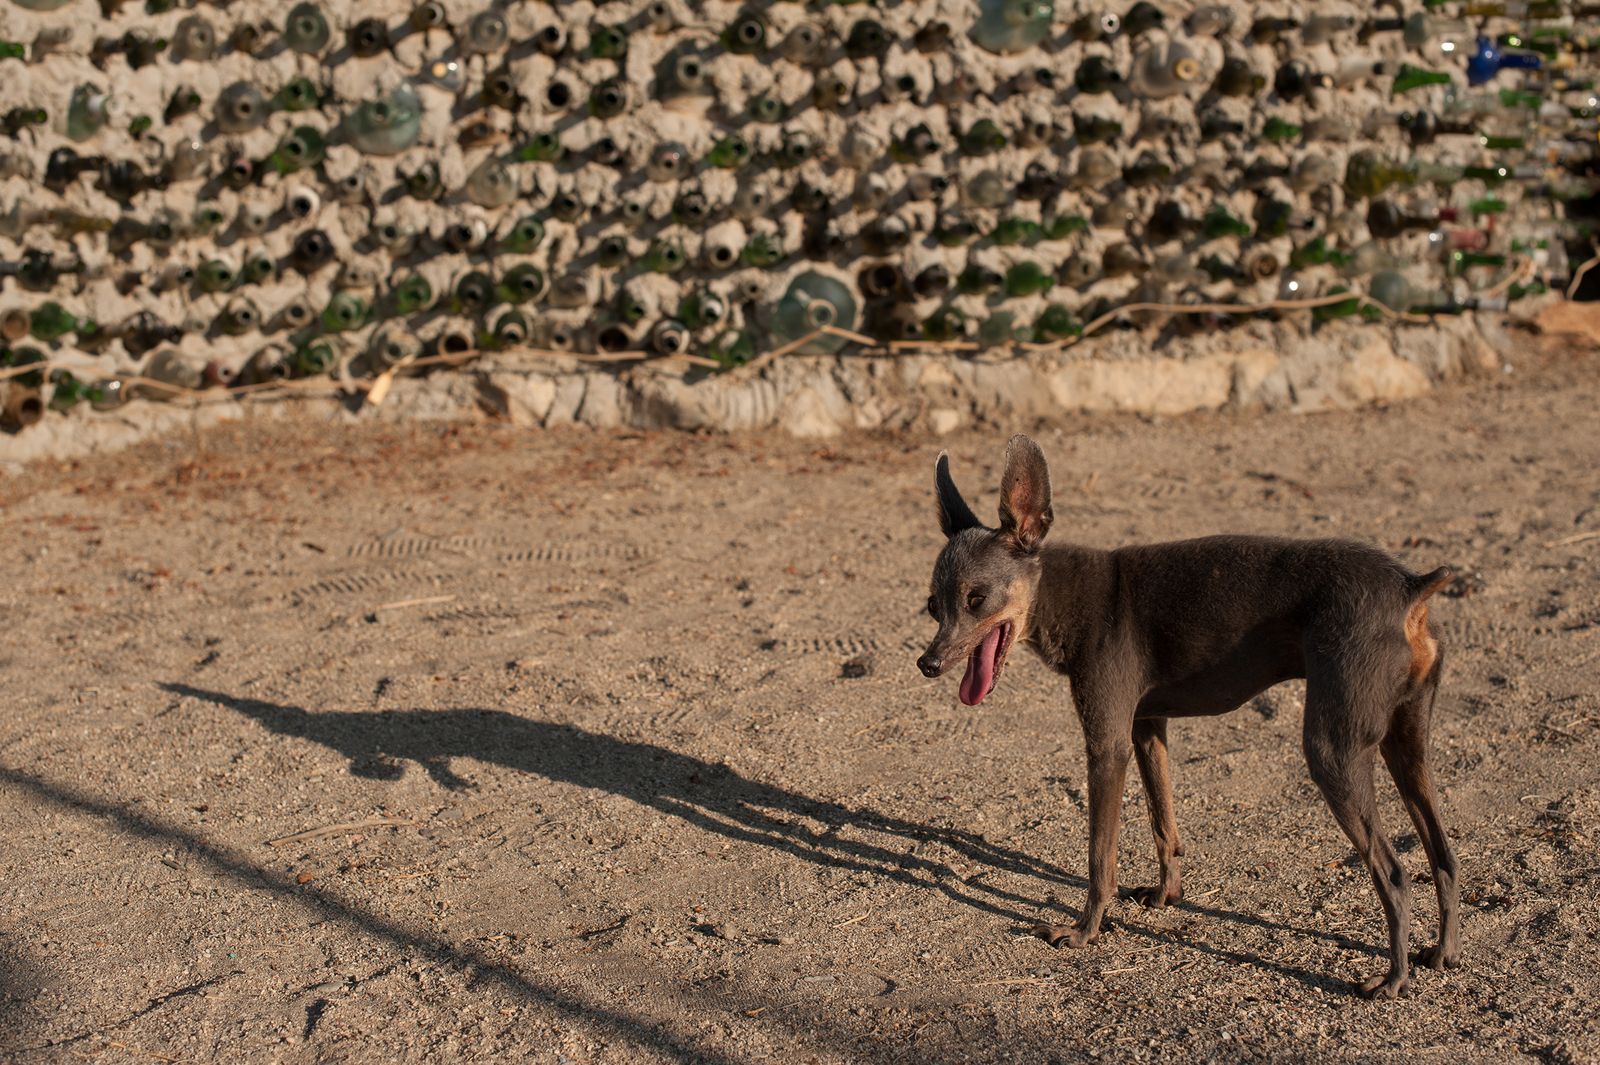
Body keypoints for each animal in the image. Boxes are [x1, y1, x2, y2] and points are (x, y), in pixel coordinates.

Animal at [921, 431, 1459, 997]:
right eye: (933, 606)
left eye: (977, 599)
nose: (927, 664)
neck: (1062, 591)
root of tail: (1410, 585)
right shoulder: (1146, 730)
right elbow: (1164, 824)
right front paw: (1166, 896)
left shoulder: (1106, 747)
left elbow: (1100, 856)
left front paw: (1084, 931)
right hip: (1406, 748)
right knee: (1443, 857)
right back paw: (1440, 954)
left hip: (1333, 752)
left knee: (1394, 874)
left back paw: (1393, 979)